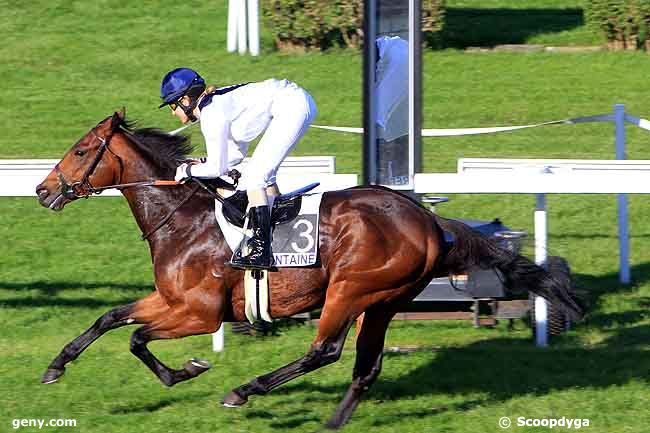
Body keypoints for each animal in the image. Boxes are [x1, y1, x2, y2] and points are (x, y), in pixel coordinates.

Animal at [35, 111, 584, 428]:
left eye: (81, 151)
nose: (43, 190)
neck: (183, 219)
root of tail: (428, 219)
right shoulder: (170, 299)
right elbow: (110, 318)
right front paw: (56, 366)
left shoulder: (198, 312)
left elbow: (135, 337)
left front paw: (188, 369)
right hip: (385, 301)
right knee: (366, 368)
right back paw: (331, 423)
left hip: (351, 289)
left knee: (325, 351)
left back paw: (245, 390)